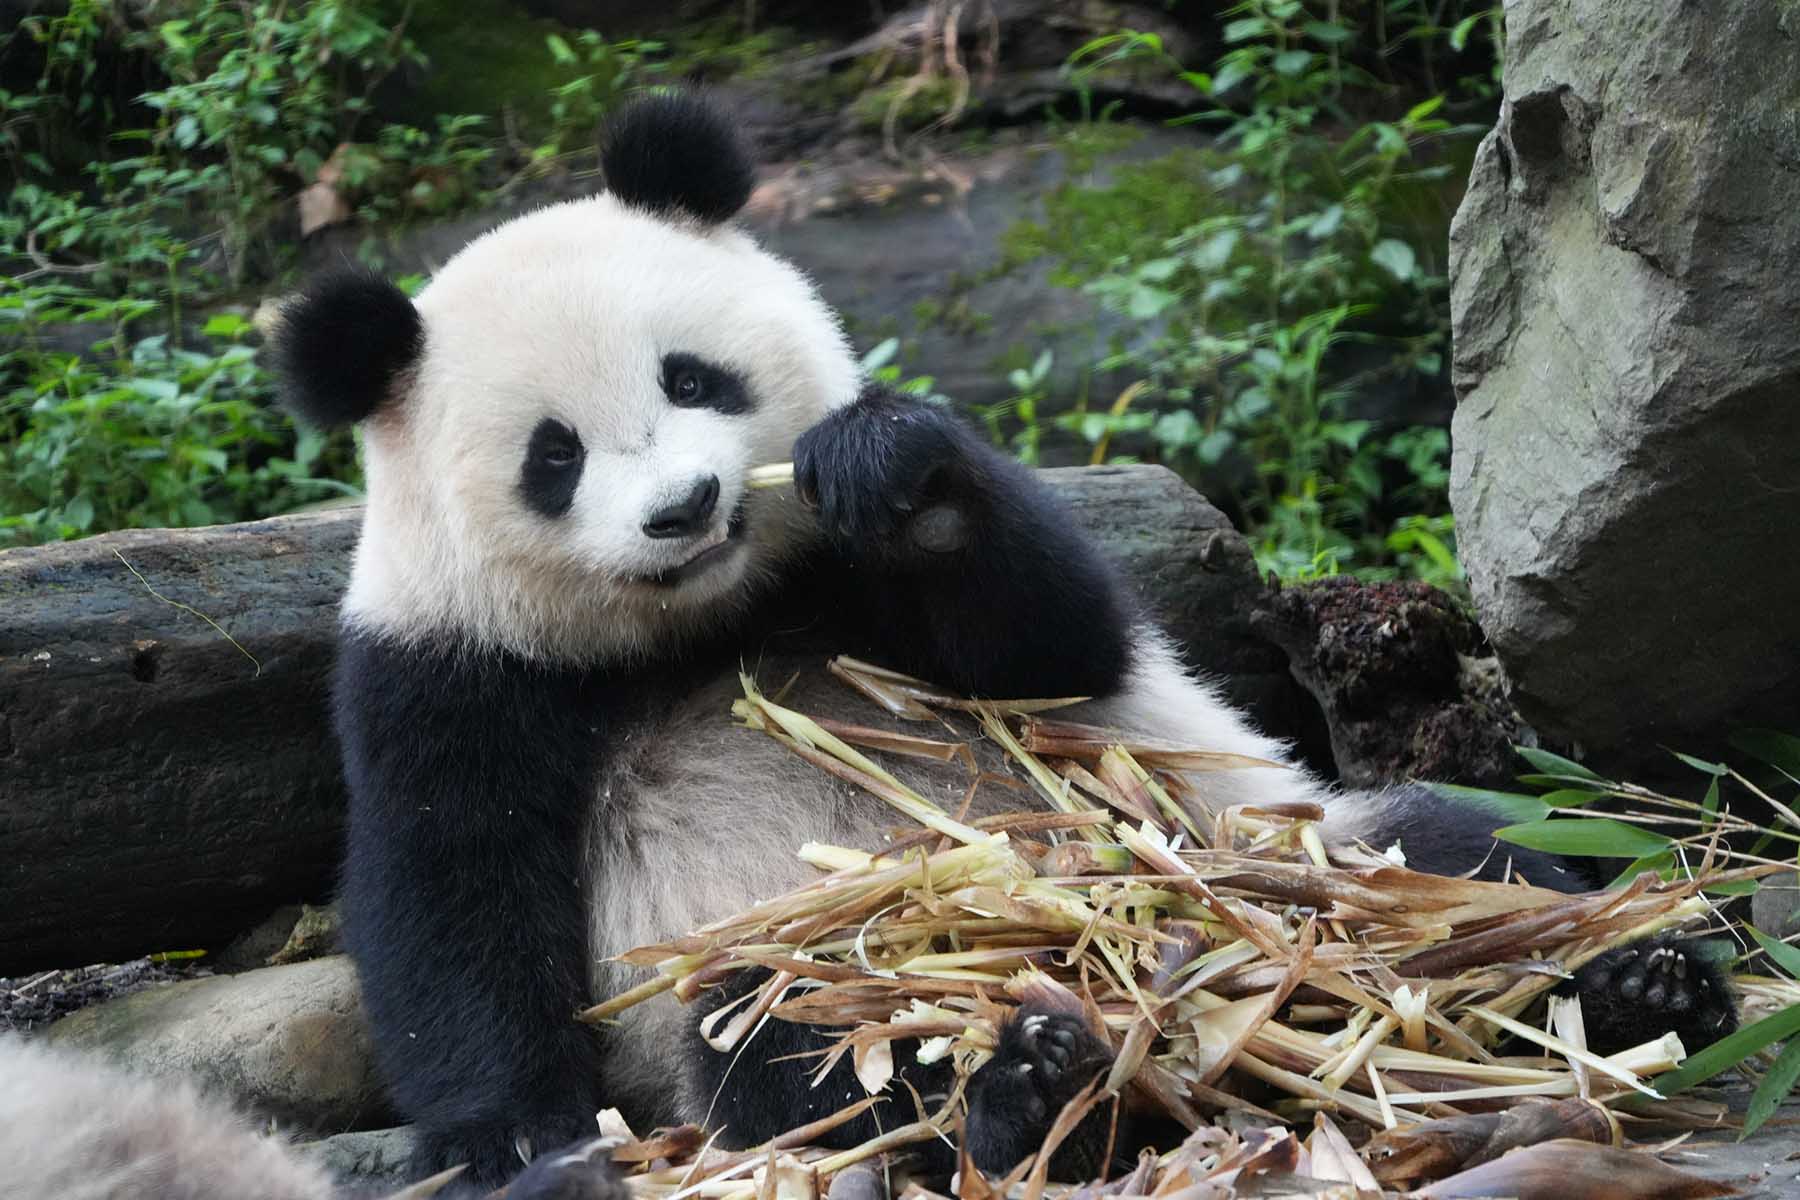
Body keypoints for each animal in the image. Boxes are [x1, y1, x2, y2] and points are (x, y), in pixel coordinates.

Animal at [266, 92, 1735, 1192]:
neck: (703, 620)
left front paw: (893, 472)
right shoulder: (447, 669)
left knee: (1442, 850)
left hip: (1258, 840)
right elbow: (449, 896)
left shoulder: (858, 583)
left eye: (693, 376)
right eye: (555, 456)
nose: (684, 509)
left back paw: (1635, 980)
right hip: (796, 966)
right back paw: (1026, 1088)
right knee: (799, 1029)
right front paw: (521, 1139)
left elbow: (1054, 649)